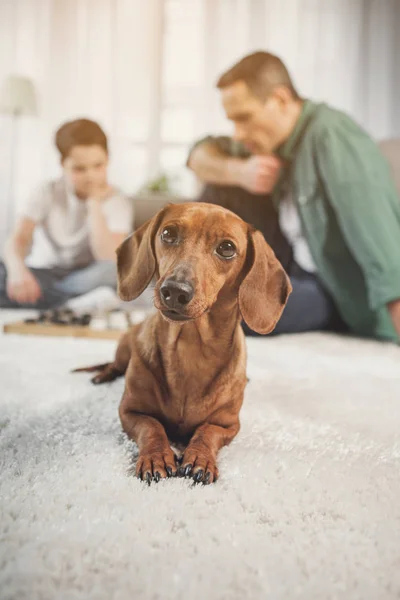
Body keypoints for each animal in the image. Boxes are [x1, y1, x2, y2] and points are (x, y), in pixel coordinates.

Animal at [78, 204, 290, 486]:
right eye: (168, 233)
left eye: (227, 248)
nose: (175, 290)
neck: (190, 349)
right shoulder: (130, 412)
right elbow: (152, 427)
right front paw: (156, 457)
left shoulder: (228, 425)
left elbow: (207, 432)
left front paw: (199, 458)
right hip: (123, 348)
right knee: (114, 364)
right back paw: (103, 375)